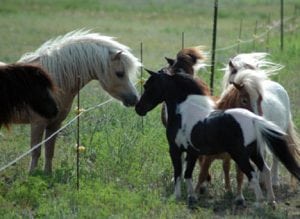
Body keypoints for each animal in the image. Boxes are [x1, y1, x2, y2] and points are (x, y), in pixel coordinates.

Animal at [135, 69, 300, 208]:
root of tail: (254, 119)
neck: (183, 112)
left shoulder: (175, 150)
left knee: (252, 174)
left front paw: (176, 197)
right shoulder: (193, 152)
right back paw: (271, 201)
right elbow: (189, 174)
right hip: (254, 152)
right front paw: (192, 197)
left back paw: (258, 204)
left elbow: (178, 173)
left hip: (240, 155)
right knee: (265, 170)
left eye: (149, 86)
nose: (138, 108)